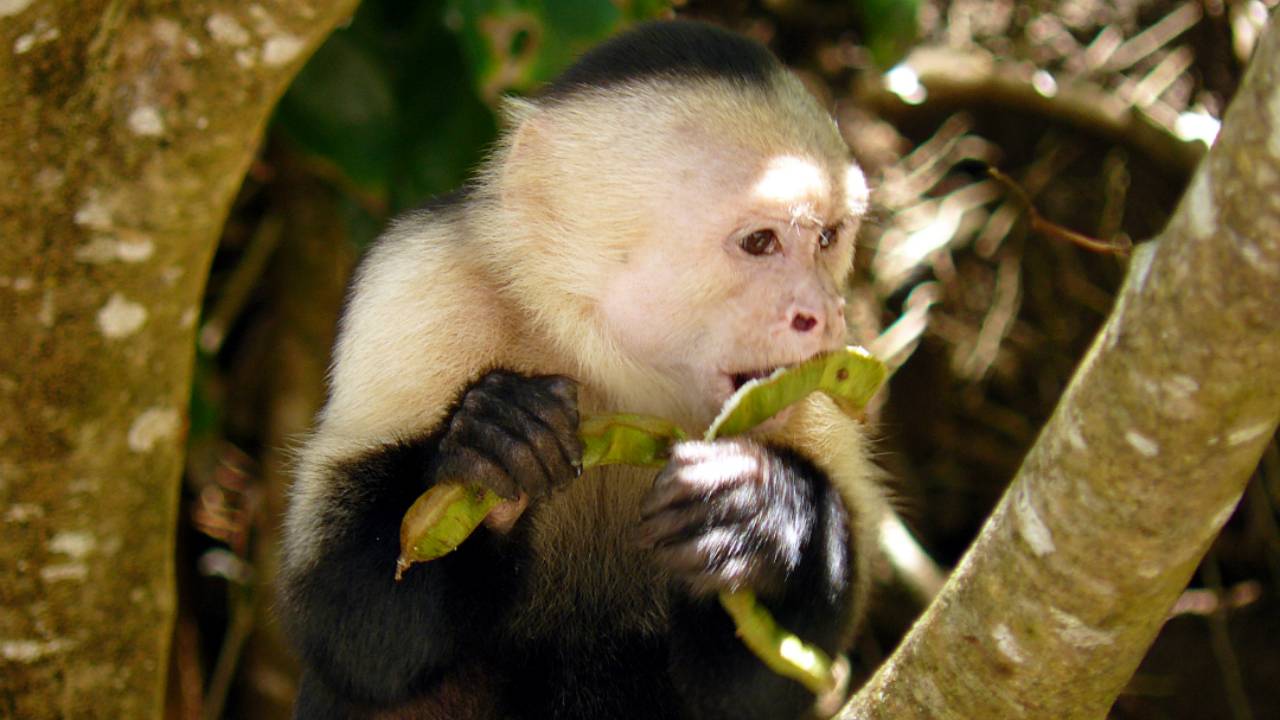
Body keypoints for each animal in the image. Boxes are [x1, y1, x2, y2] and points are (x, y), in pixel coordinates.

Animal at [278, 18, 883, 720]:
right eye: (760, 242)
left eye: (828, 239)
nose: (823, 314)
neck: (611, 369)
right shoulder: (416, 285)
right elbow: (355, 631)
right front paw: (492, 446)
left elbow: (748, 693)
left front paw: (769, 514)